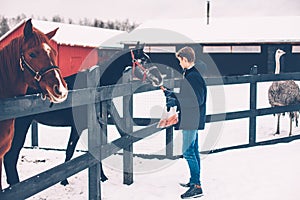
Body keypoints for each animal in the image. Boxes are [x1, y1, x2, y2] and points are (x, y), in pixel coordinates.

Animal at [3, 43, 163, 187]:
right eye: (144, 60)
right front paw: (64, 180)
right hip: (20, 127)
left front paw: (102, 177)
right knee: (10, 157)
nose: (159, 78)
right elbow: (70, 151)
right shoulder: (77, 127)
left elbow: (96, 151)